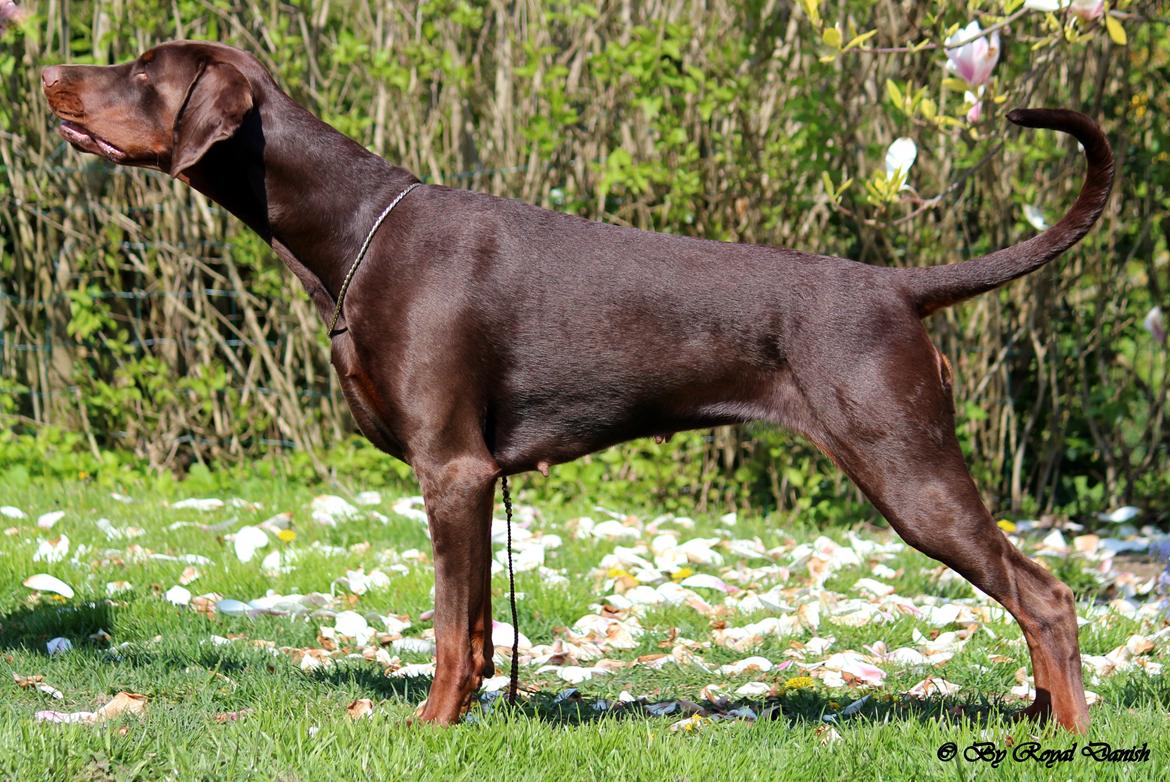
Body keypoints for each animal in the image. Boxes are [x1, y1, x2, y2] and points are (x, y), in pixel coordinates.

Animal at [38, 39, 1113, 730]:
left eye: (142, 73)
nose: (46, 74)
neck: (349, 234)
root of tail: (895, 285)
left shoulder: (453, 469)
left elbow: (446, 630)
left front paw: (426, 729)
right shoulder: (472, 481)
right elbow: (476, 628)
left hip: (907, 465)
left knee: (1046, 596)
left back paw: (1067, 733)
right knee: (1026, 599)